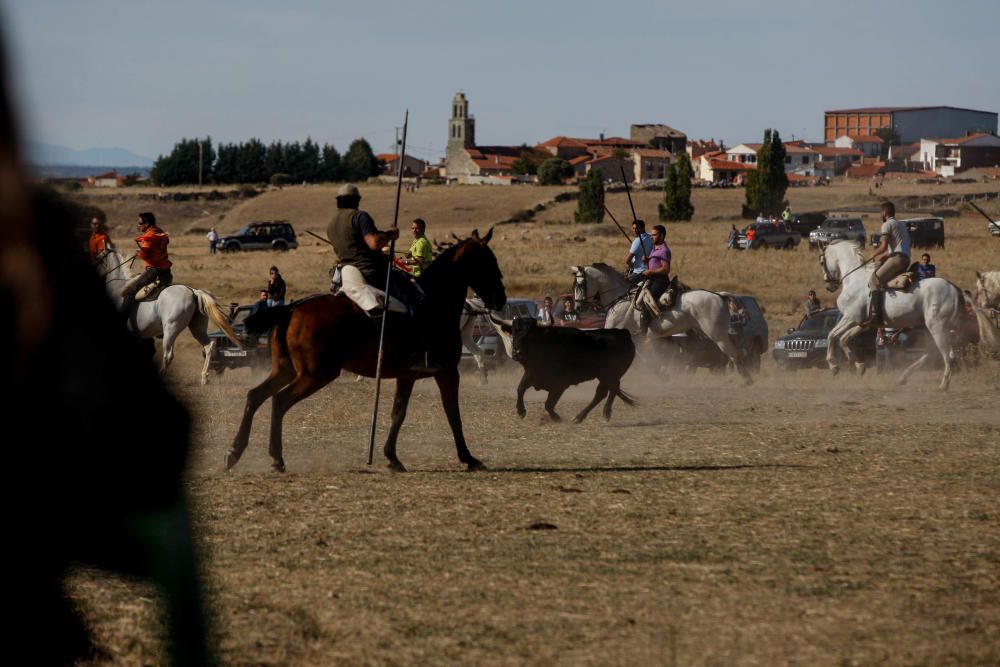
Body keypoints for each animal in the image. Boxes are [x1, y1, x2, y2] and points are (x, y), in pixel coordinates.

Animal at [97, 250, 242, 386]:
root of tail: (193, 292)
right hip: (197, 329)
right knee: (208, 346)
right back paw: (204, 378)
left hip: (171, 330)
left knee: (168, 355)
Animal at [228, 231, 508, 474]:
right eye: (490, 261)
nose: (501, 299)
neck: (436, 303)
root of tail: (291, 309)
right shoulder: (447, 372)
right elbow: (453, 414)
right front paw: (468, 458)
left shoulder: (408, 376)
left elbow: (398, 413)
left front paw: (392, 457)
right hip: (316, 374)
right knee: (279, 401)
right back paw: (275, 457)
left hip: (286, 370)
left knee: (256, 396)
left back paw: (236, 452)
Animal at [504, 318, 636, 422]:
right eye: (513, 333)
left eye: (529, 335)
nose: (517, 353)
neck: (544, 344)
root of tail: (622, 333)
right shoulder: (531, 374)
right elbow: (520, 389)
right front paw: (521, 411)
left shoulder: (559, 384)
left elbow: (548, 405)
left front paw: (556, 418)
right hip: (605, 376)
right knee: (608, 391)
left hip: (611, 374)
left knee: (606, 391)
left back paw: (594, 414)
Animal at [572, 264, 752, 384]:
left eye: (580, 285)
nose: (578, 307)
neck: (621, 297)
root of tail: (719, 295)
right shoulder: (639, 338)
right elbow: (646, 359)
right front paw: (662, 375)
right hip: (718, 332)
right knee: (738, 351)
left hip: (716, 334)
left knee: (733, 354)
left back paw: (745, 379)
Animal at [816, 239, 964, 388]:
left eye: (822, 262)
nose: (829, 286)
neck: (853, 279)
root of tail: (953, 288)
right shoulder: (863, 323)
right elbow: (844, 339)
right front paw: (859, 366)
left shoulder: (850, 318)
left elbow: (831, 336)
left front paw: (834, 366)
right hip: (931, 327)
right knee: (932, 352)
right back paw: (904, 377)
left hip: (937, 326)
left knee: (945, 353)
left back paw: (944, 384)